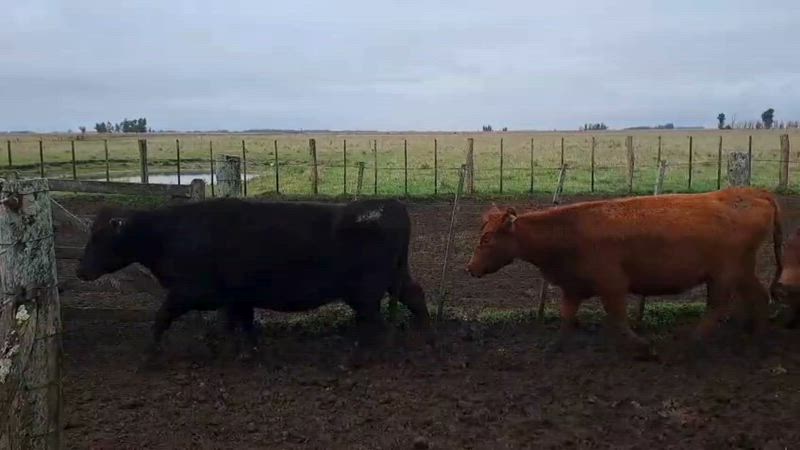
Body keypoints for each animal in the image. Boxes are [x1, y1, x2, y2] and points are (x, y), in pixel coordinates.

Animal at [76, 197, 432, 364]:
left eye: (99, 237)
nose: (80, 271)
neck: (169, 234)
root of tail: (389, 205)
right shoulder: (238, 296)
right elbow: (240, 324)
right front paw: (239, 351)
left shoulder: (187, 292)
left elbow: (161, 317)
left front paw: (150, 354)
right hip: (394, 278)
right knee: (414, 297)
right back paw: (423, 336)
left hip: (364, 292)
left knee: (375, 324)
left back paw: (359, 358)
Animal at [465, 187, 783, 358]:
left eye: (486, 239)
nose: (470, 268)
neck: (569, 232)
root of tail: (749, 192)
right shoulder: (573, 287)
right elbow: (567, 319)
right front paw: (551, 349)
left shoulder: (612, 284)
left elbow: (618, 319)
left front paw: (643, 347)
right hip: (741, 270)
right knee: (758, 297)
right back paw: (757, 339)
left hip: (725, 273)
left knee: (717, 307)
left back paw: (690, 344)